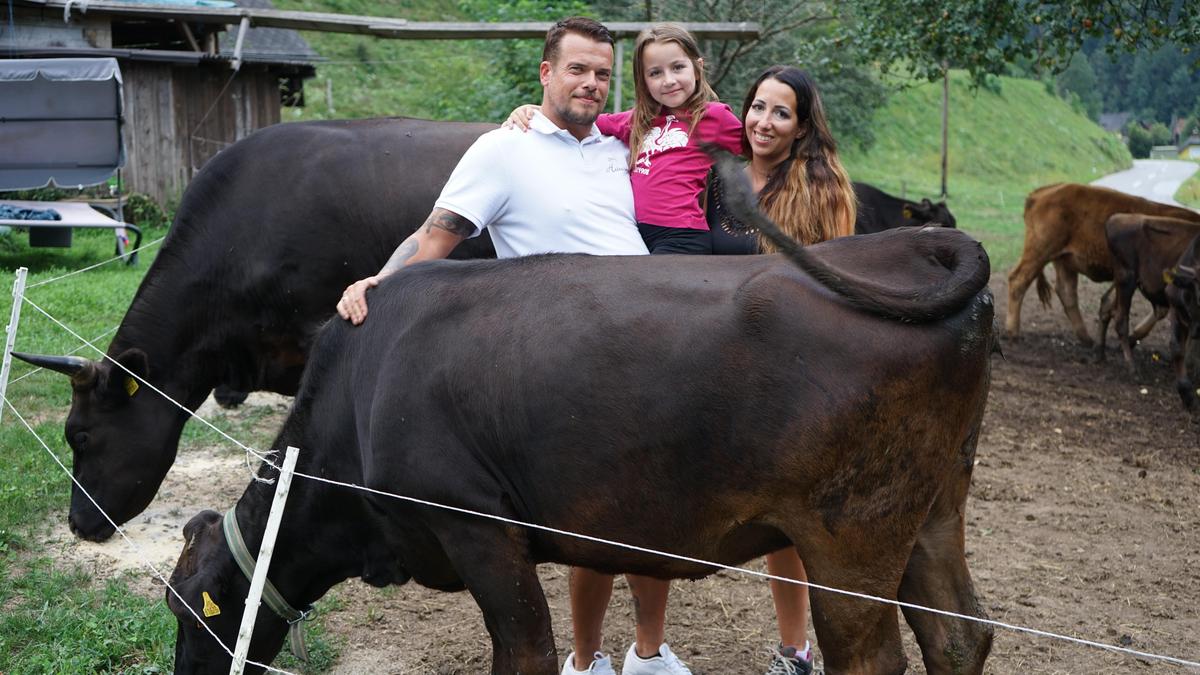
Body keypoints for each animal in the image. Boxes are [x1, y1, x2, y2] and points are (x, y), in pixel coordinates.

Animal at [166, 159, 993, 667]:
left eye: (188, 612)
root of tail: (914, 242)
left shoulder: (476, 525)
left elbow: (525, 649)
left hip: (849, 533)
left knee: (874, 654)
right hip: (933, 506)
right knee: (959, 634)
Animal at [1003, 181, 1200, 343]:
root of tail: (1042, 191)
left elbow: (1160, 308)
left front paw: (1133, 335)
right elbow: (1161, 308)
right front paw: (1133, 335)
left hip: (1064, 260)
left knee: (1067, 293)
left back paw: (1086, 338)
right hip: (1040, 250)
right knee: (1019, 280)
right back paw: (1012, 332)